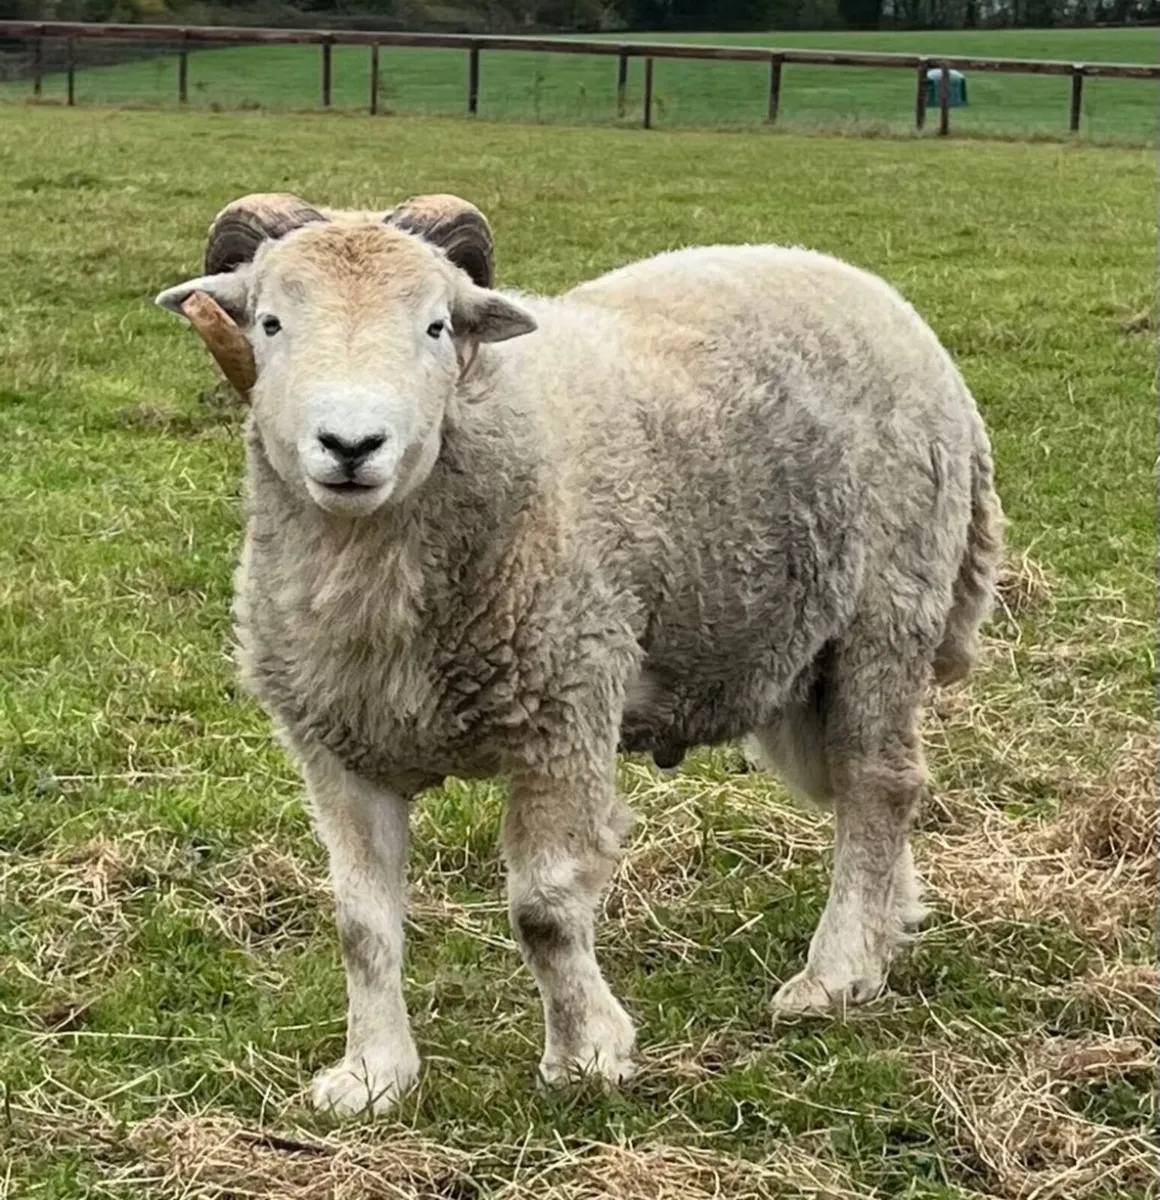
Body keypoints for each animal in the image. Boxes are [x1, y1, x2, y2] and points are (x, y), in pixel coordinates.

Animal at [155, 192, 1003, 1117]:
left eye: (436, 325)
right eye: (271, 322)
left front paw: (586, 1055)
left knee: (878, 782)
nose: (351, 446)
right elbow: (360, 924)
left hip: (885, 614)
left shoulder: (565, 707)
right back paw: (887, 928)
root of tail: (880, 296)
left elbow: (545, 908)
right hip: (791, 661)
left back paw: (835, 972)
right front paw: (374, 1074)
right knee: (861, 792)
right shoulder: (336, 745)